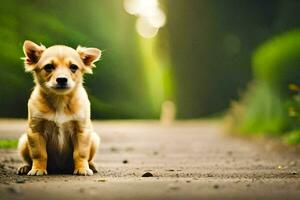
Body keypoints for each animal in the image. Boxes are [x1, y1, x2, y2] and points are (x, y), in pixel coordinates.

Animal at [17, 40, 101, 175]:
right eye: (48, 67)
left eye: (73, 67)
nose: (62, 79)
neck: (60, 101)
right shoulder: (35, 131)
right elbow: (39, 154)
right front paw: (38, 169)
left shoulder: (82, 131)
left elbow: (81, 154)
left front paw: (82, 169)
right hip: (23, 141)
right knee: (28, 160)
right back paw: (25, 167)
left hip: (93, 139)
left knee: (89, 158)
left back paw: (91, 166)